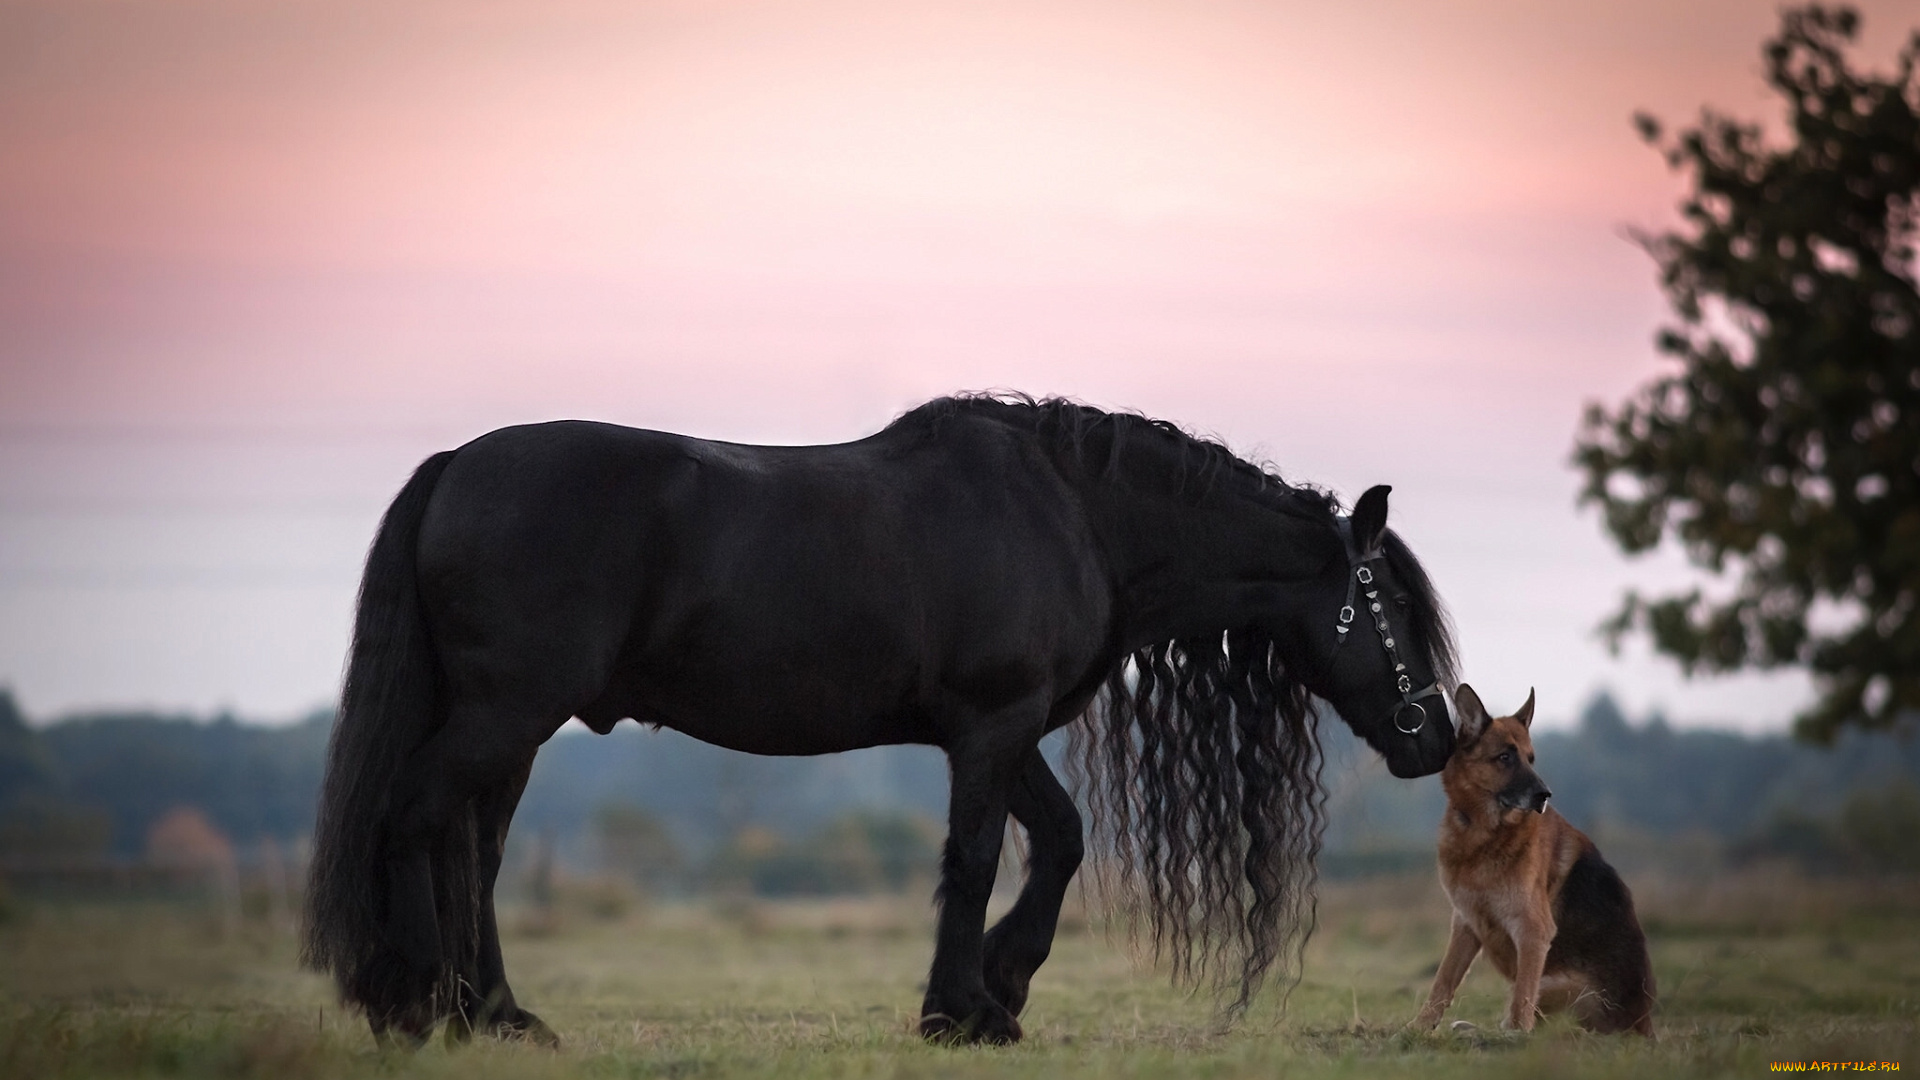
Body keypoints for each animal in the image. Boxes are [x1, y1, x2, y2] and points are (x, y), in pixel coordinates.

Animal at [303, 395, 1451, 1045]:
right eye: (1389, 602)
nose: (1435, 732)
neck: (1075, 511)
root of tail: (456, 466)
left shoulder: (1002, 729)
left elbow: (1059, 840)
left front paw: (1001, 985)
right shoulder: (991, 724)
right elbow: (975, 859)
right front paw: (960, 1013)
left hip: (510, 725)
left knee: (475, 851)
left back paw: (496, 1016)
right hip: (508, 713)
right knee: (418, 821)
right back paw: (415, 1005)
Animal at [1405, 684, 1658, 1030]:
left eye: (1531, 759)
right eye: (1505, 757)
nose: (1544, 795)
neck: (1484, 836)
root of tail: (1640, 1026)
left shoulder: (1532, 931)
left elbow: (1522, 1001)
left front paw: (1515, 1033)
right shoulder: (1465, 925)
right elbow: (1442, 981)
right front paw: (1419, 1027)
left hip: (1553, 982)